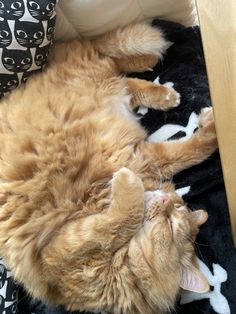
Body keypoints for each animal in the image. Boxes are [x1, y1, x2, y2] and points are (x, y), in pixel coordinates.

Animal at [0, 22, 218, 314]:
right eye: (172, 221)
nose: (163, 199)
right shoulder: (65, 242)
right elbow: (121, 218)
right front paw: (213, 125)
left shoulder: (142, 159)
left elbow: (188, 152)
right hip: (91, 76)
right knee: (108, 59)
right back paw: (160, 83)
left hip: (98, 80)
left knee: (115, 69)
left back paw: (158, 84)